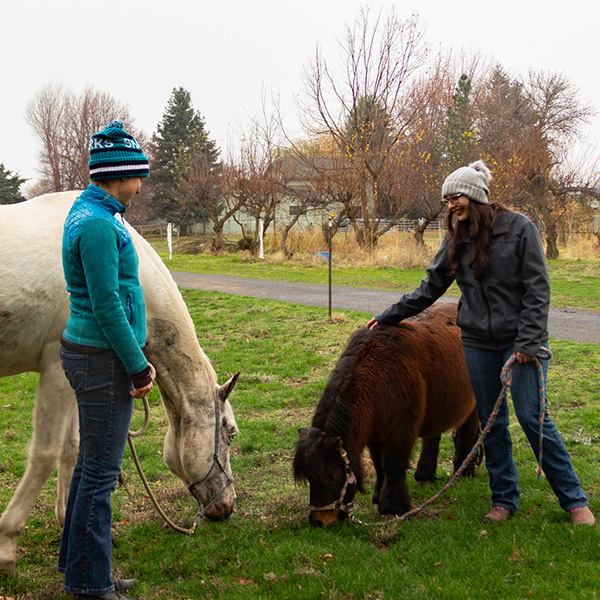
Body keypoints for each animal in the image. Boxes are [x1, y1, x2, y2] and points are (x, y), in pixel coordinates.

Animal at [0, 190, 239, 576]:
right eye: (229, 433)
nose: (227, 506)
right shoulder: (56, 373)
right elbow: (44, 454)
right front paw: (7, 547)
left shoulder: (79, 382)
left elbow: (72, 449)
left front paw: (67, 523)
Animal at [292, 304, 480, 524]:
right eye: (309, 478)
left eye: (330, 476)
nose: (318, 521)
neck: (380, 376)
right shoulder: (375, 434)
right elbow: (379, 467)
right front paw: (377, 499)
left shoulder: (400, 433)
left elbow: (393, 466)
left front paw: (393, 507)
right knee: (433, 437)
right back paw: (424, 475)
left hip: (472, 406)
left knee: (468, 435)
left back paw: (464, 472)